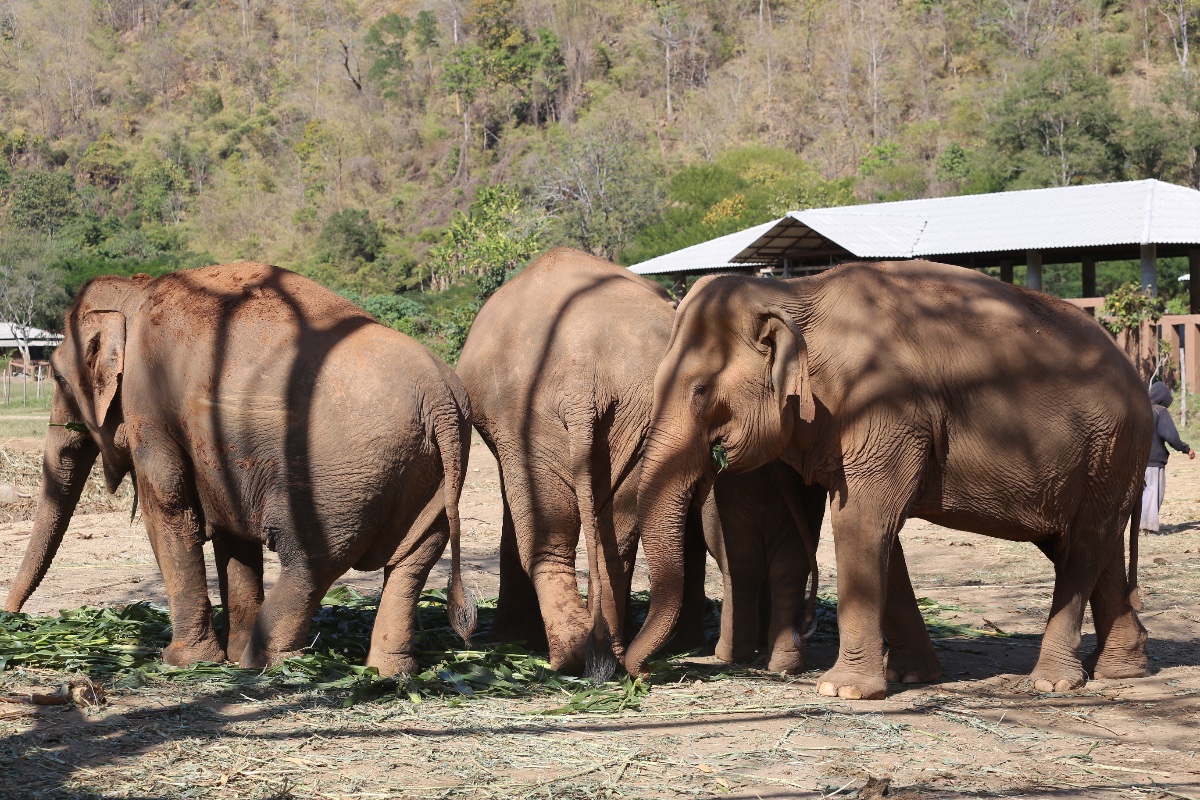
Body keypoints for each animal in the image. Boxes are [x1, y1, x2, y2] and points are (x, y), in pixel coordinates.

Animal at [4, 262, 474, 676]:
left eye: (58, 379)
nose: (11, 618)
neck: (134, 291)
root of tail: (440, 400)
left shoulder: (149, 404)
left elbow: (170, 508)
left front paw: (183, 662)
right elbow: (232, 534)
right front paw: (221, 655)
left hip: (343, 478)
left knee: (311, 560)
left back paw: (264, 661)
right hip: (432, 474)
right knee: (413, 561)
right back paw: (387, 673)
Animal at [627, 259, 1150, 700]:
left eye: (699, 391)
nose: (646, 674)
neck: (796, 292)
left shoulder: (886, 409)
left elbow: (860, 523)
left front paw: (842, 691)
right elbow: (881, 533)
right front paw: (910, 677)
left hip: (1110, 449)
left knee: (1084, 545)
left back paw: (1053, 682)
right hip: (1100, 462)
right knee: (1091, 545)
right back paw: (1123, 670)